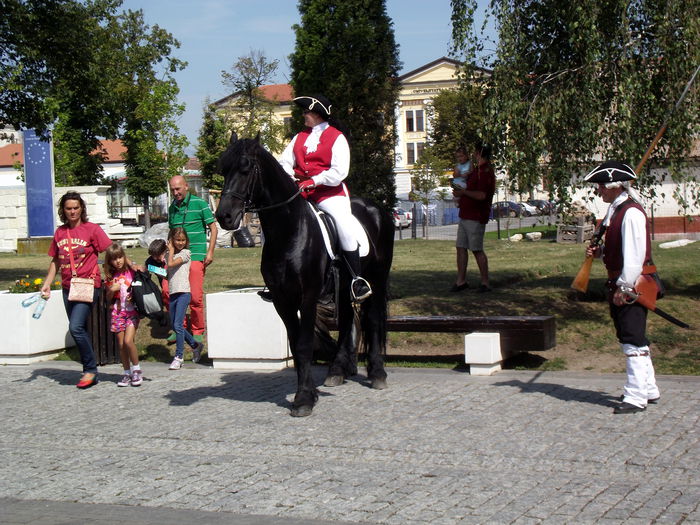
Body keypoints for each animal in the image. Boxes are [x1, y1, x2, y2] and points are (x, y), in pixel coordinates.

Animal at [216, 135, 394, 418]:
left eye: (245, 168)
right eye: (223, 169)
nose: (224, 216)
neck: (290, 231)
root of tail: (377, 209)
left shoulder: (307, 297)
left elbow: (304, 344)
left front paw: (303, 399)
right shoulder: (282, 300)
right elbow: (296, 344)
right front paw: (308, 393)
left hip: (377, 277)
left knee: (373, 319)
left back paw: (377, 374)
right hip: (344, 285)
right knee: (346, 320)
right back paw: (336, 372)